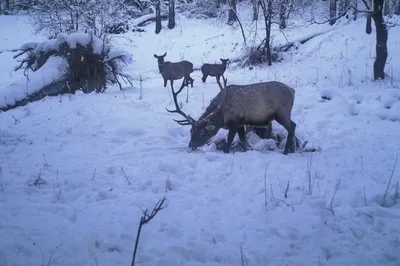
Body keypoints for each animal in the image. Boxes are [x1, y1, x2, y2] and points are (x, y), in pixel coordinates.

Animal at [166, 77, 296, 155]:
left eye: (202, 132)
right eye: (190, 131)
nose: (191, 145)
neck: (222, 116)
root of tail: (292, 90)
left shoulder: (235, 122)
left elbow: (228, 144)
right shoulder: (241, 124)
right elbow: (244, 142)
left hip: (282, 113)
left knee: (292, 127)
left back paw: (286, 151)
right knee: (293, 125)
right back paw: (292, 150)